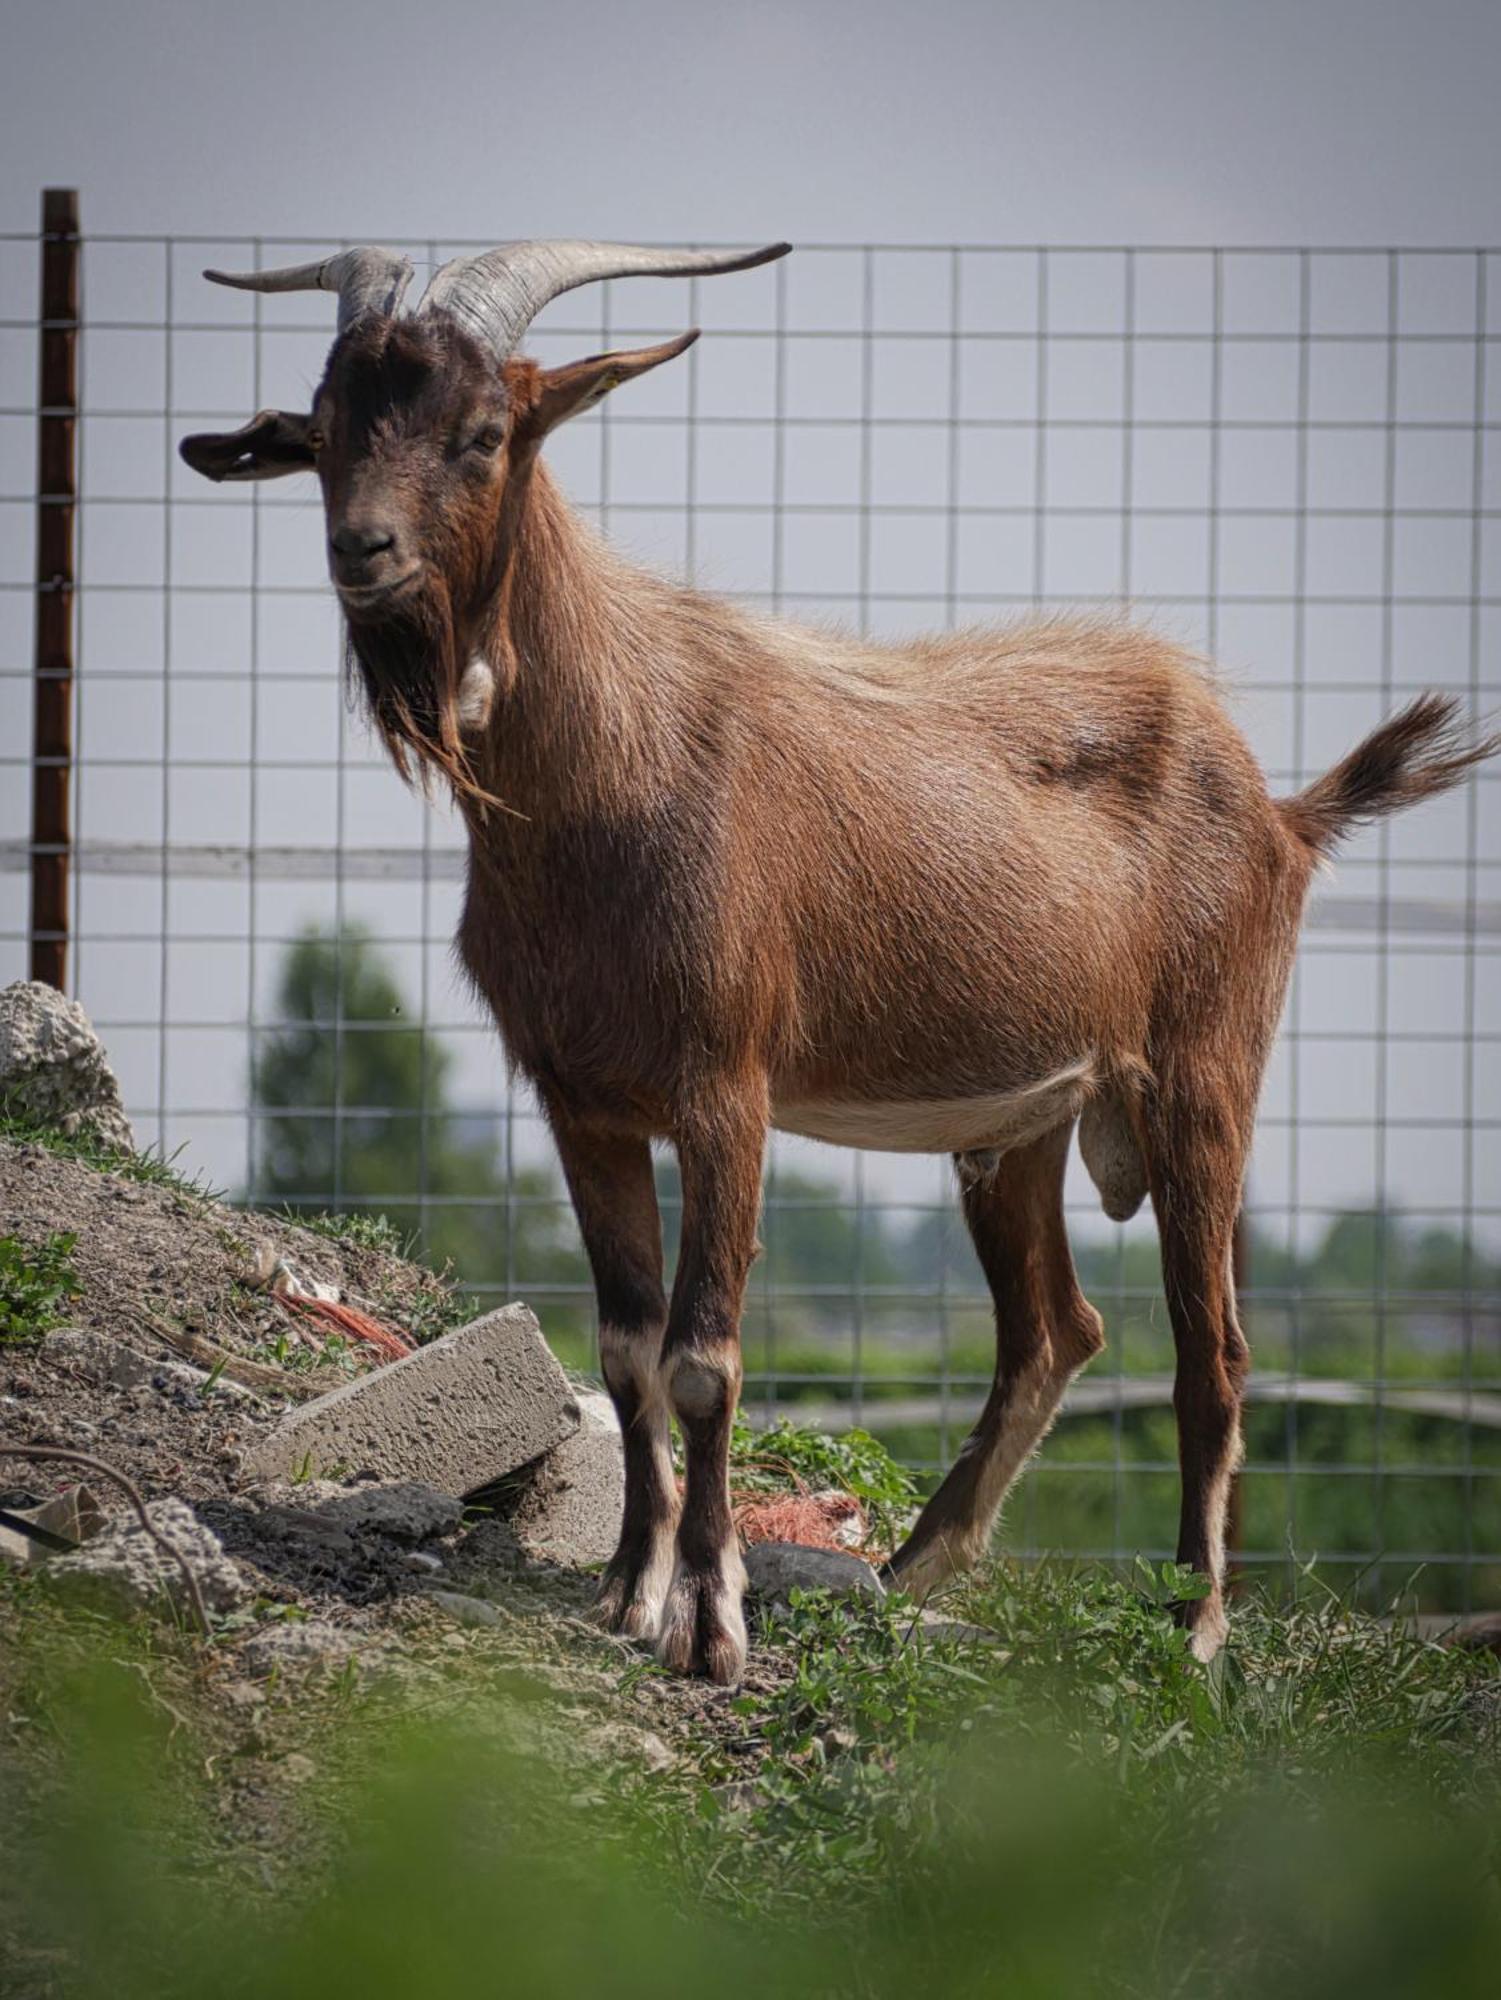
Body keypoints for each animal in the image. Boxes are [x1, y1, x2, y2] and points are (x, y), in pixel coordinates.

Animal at [182, 242, 1496, 1680]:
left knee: (1215, 1344)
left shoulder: (726, 1088)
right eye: (322, 431)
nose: (361, 548)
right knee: (1058, 1327)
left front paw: (712, 1623)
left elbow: (703, 1355)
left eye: (482, 431)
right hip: (1020, 1127)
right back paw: (916, 1566)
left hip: (1205, 1077)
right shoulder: (583, 1100)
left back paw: (1195, 1623)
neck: (605, 770)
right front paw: (627, 1591)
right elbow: (626, 1346)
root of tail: (1282, 811)